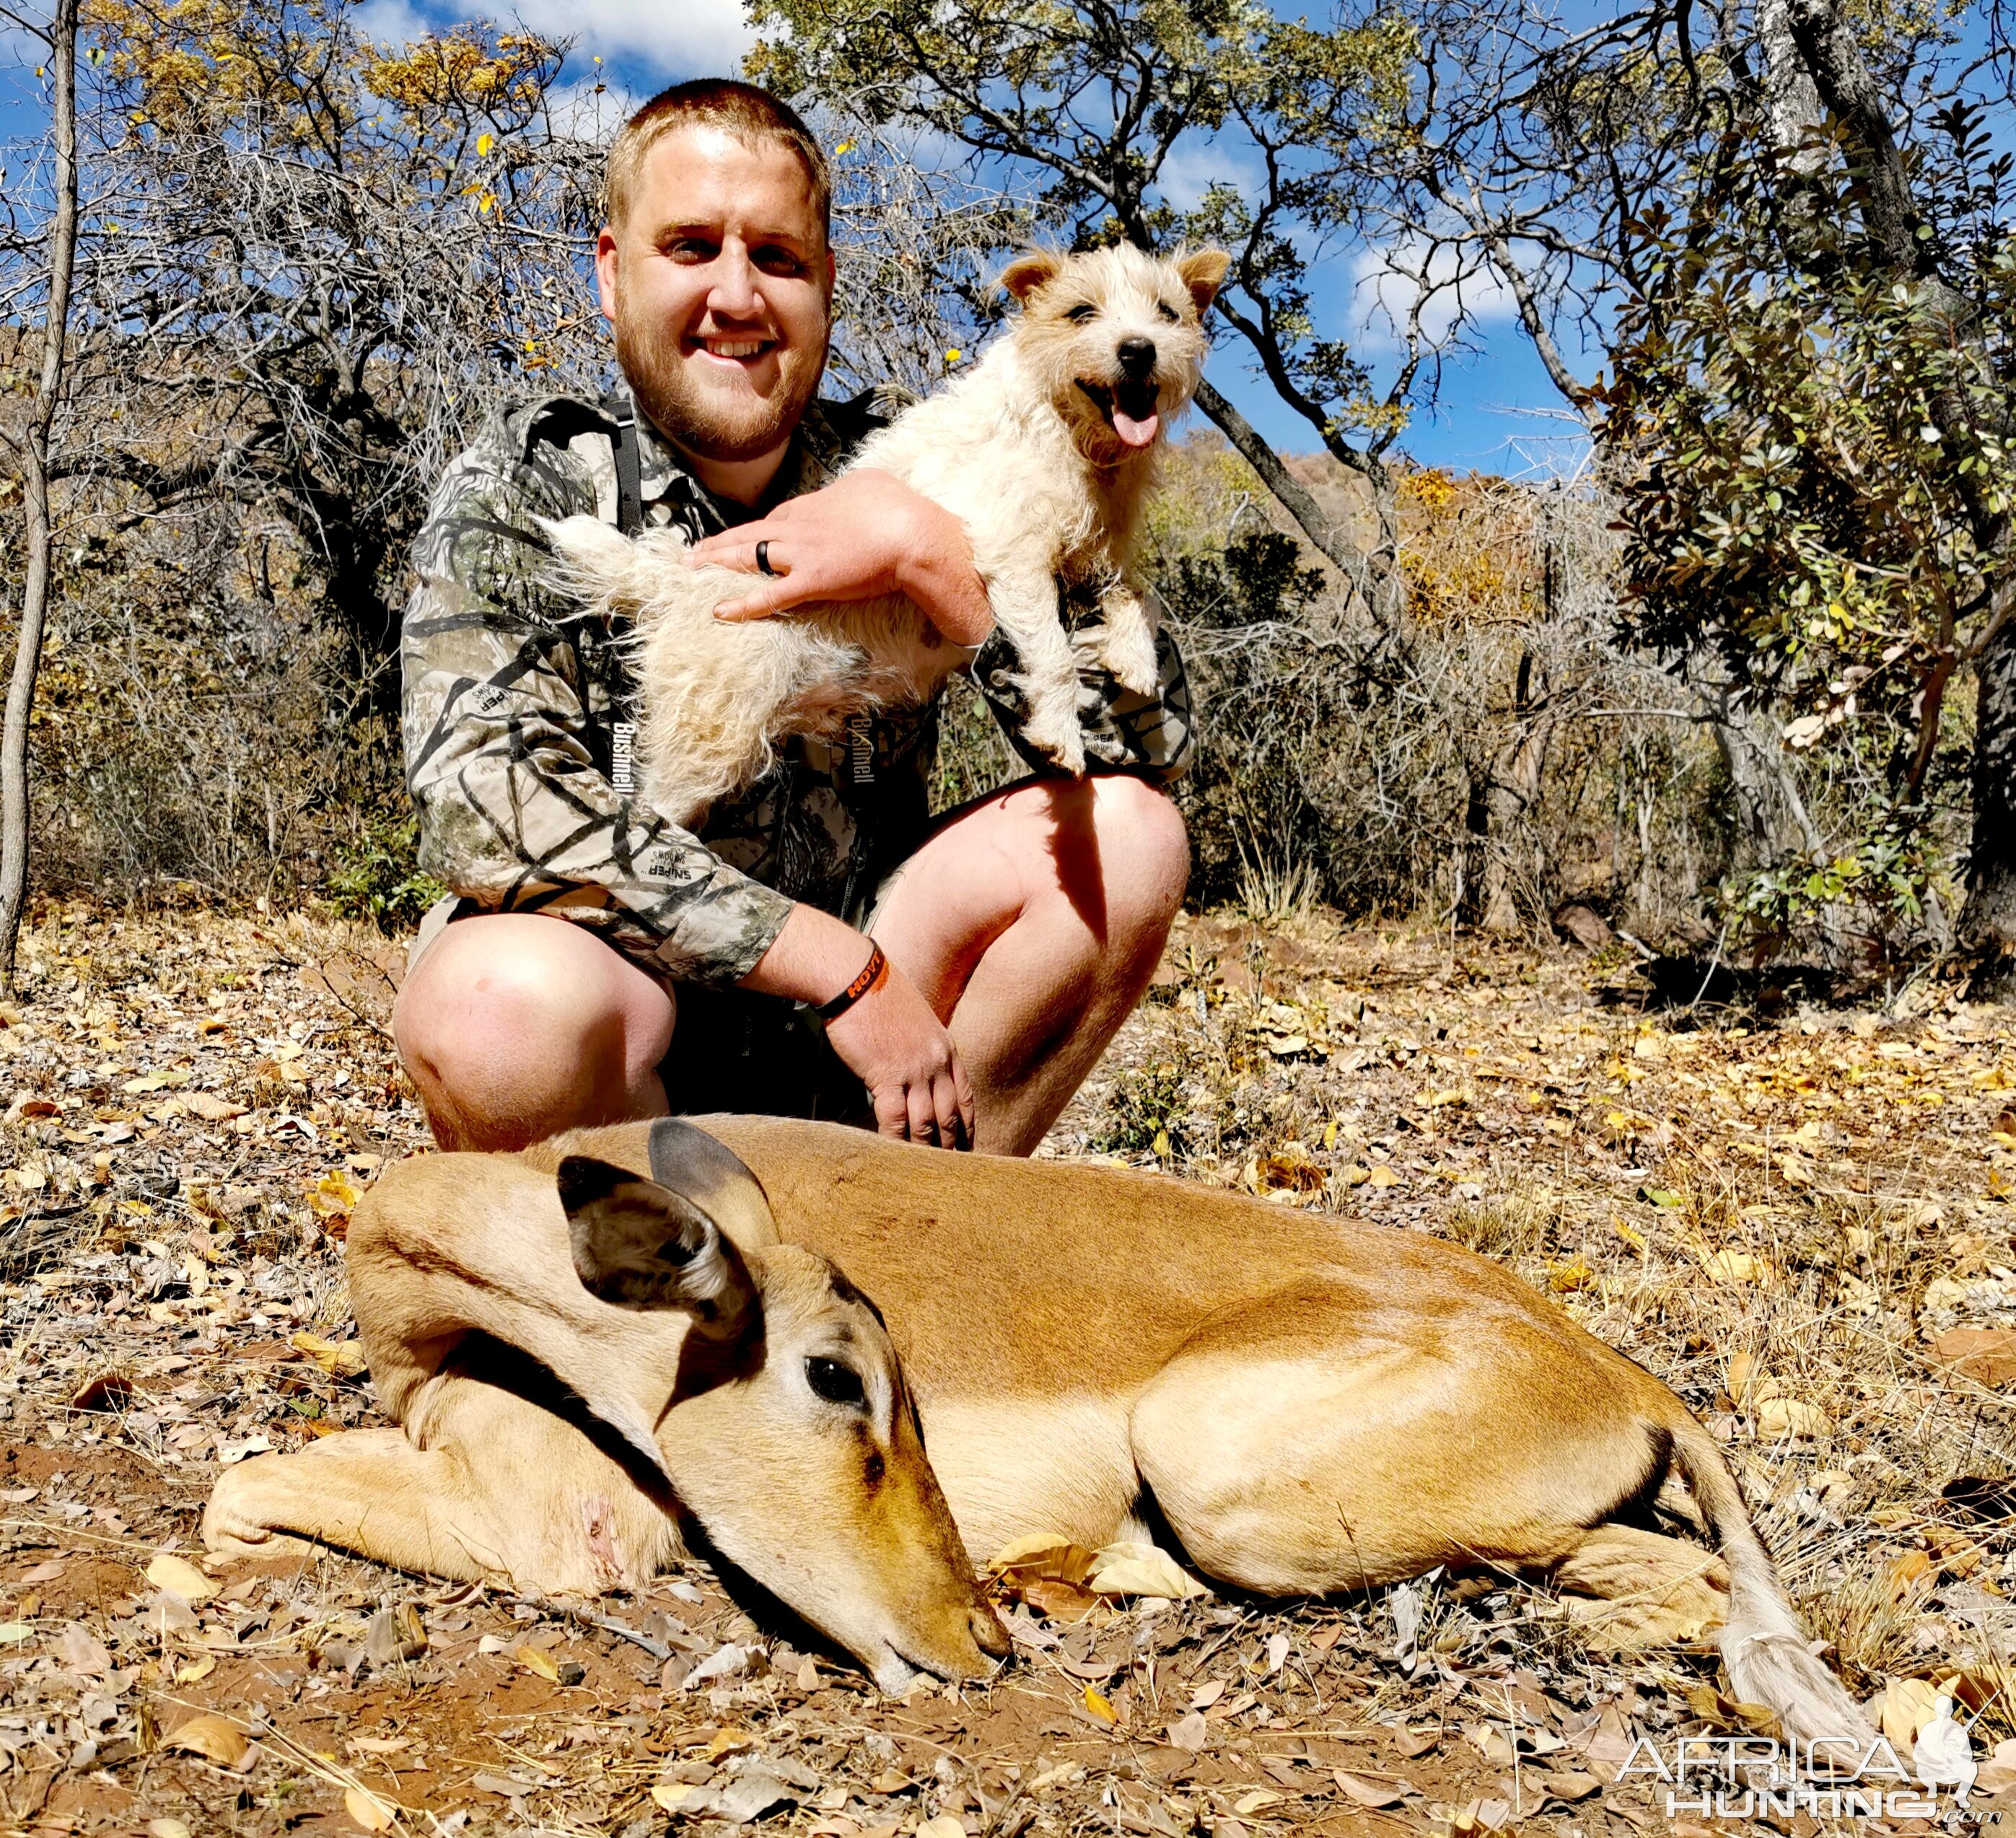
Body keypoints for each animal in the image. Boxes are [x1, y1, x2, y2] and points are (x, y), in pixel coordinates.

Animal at [204, 1104, 1870, 1741]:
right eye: (836, 1373)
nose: (968, 1642)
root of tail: (1618, 1371)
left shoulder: (556, 1523)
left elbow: (235, 1492)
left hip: (1217, 1466)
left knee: (1683, 1581)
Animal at [544, 242, 1225, 826]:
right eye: (1081, 312)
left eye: (1168, 312)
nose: (1138, 350)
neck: (1070, 436)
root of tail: (677, 583)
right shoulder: (1013, 555)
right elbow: (1054, 655)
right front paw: (1061, 733)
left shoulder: (1098, 549)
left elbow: (1137, 593)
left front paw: (1134, 660)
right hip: (707, 739)